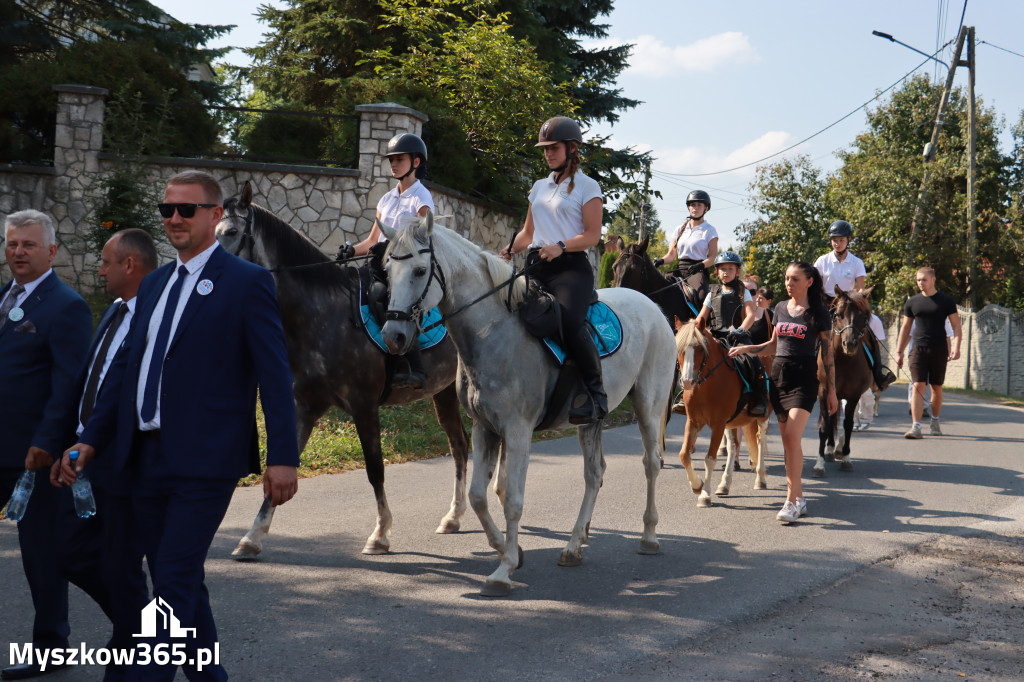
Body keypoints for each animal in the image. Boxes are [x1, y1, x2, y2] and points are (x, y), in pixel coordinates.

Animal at [219, 183, 471, 557]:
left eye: (232, 233)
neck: (321, 315)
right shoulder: (305, 405)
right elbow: (281, 467)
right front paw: (252, 536)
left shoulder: (364, 406)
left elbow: (375, 469)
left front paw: (380, 533)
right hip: (443, 393)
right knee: (459, 445)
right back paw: (453, 517)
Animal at [380, 212, 675, 593]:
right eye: (388, 270)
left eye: (418, 270)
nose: (393, 336)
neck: (492, 332)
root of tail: (652, 307)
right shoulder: (485, 428)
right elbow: (479, 495)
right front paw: (509, 550)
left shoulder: (518, 431)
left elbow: (513, 501)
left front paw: (503, 568)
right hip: (590, 420)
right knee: (594, 474)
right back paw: (574, 544)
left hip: (649, 407)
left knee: (651, 464)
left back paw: (649, 536)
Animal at [671, 319, 770, 503]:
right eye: (679, 348)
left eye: (700, 348)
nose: (687, 382)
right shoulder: (694, 422)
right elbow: (684, 455)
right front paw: (697, 485)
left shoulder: (718, 424)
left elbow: (710, 459)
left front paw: (704, 494)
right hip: (731, 422)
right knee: (732, 446)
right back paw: (724, 484)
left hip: (763, 417)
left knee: (760, 440)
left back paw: (760, 479)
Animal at [815, 282, 872, 473]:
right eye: (838, 315)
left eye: (864, 316)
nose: (850, 344)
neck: (842, 359)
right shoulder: (824, 391)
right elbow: (825, 426)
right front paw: (819, 462)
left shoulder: (854, 394)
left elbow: (848, 424)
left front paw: (846, 456)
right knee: (831, 419)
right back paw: (829, 449)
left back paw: (836, 448)